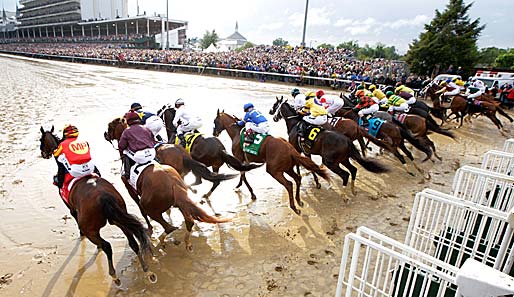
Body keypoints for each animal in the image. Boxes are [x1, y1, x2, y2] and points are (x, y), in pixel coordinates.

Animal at [39, 125, 155, 284]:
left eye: (41, 140)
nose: (43, 153)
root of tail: (104, 197)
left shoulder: (71, 207)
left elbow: (74, 217)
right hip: (119, 219)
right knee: (133, 242)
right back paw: (147, 270)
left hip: (91, 229)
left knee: (107, 245)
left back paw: (114, 275)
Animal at [106, 116, 238, 197]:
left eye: (110, 126)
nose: (105, 135)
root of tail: (221, 148)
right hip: (210, 166)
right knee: (211, 181)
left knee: (201, 181)